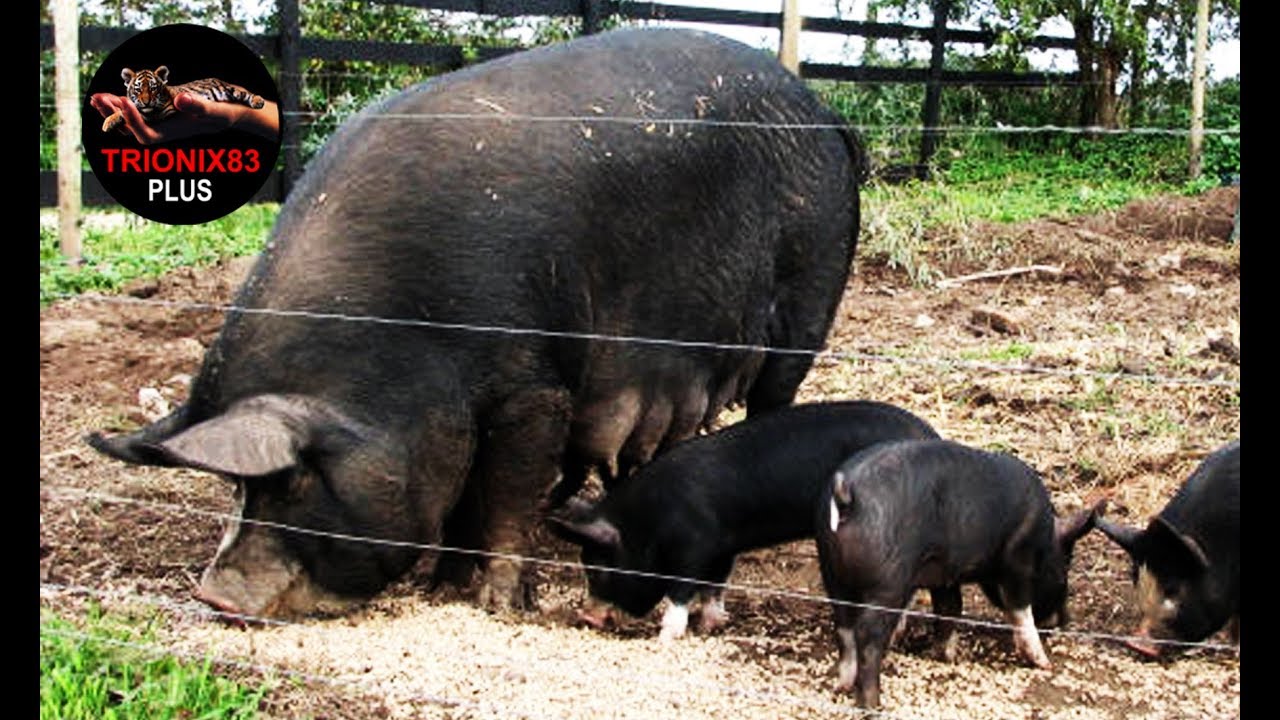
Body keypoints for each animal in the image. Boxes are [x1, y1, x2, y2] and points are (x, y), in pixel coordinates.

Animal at [84, 27, 867, 619]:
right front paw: (442, 589)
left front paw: (498, 605)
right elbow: (465, 494)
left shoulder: (536, 386)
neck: (409, 335)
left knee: (774, 399)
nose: (216, 597)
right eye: (236, 489)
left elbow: (510, 493)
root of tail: (826, 110)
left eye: (295, 481)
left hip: (810, 297)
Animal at [546, 400, 939, 640]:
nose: (586, 618)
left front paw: (667, 634)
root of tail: (931, 436)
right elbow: (714, 585)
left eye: (597, 568)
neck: (648, 524)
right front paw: (712, 624)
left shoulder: (694, 545)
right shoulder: (723, 547)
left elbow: (682, 587)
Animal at [816, 439, 1101, 708]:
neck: (1045, 540)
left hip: (831, 572)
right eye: (1063, 575)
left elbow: (950, 608)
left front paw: (947, 657)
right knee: (867, 636)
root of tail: (847, 497)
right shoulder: (1017, 561)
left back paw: (842, 686)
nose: (1065, 621)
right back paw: (873, 705)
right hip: (887, 581)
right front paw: (1045, 664)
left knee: (844, 628)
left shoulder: (943, 573)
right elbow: (1019, 610)